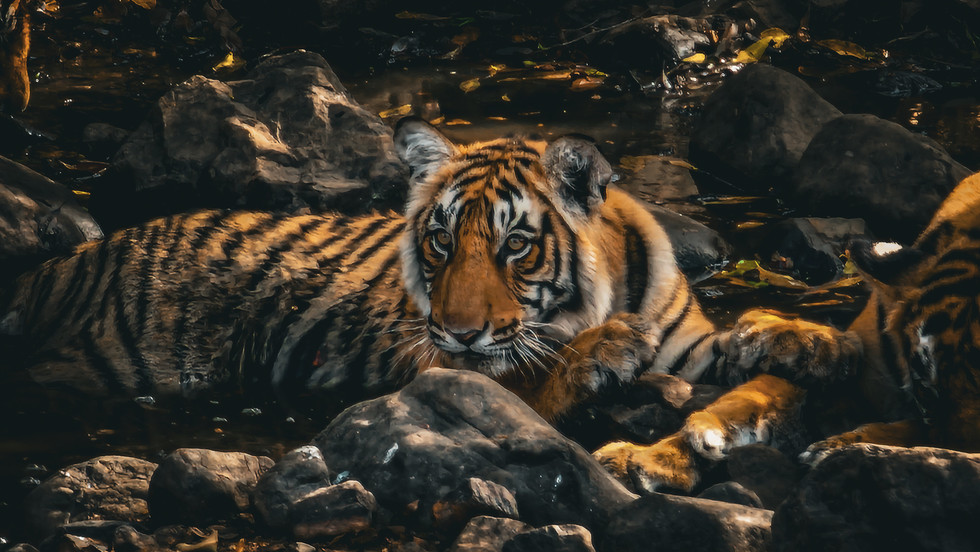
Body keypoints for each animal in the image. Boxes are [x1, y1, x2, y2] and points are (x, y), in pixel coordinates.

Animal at [0, 118, 726, 421]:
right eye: (440, 240)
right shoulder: (440, 371)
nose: (459, 331)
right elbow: (526, 380)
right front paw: (602, 351)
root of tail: (64, 266)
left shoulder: (689, 345)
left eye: (515, 245)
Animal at [595, 170, 980, 493]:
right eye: (929, 395)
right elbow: (757, 395)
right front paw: (652, 457)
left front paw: (835, 448)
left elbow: (912, 433)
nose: (960, 477)